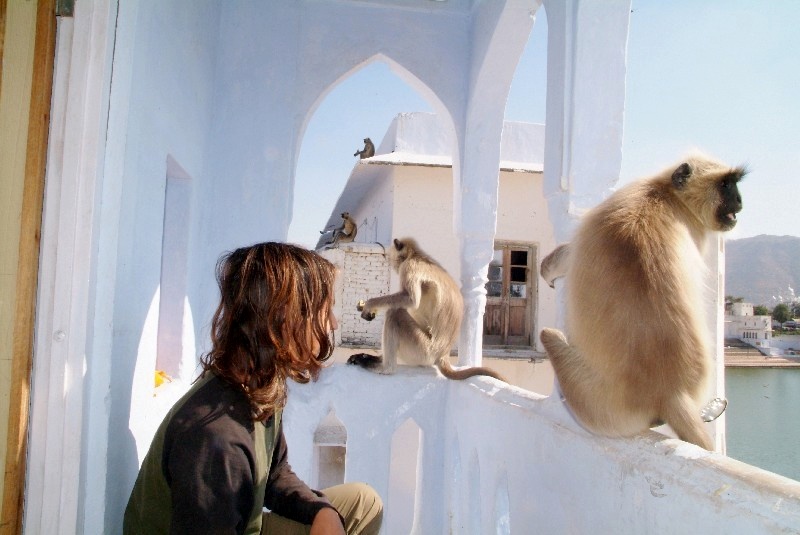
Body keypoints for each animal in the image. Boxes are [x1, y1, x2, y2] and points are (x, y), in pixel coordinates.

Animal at [347, 237, 506, 382]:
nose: (392, 264)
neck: (417, 255)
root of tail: (443, 354)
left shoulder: (409, 266)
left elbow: (410, 300)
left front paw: (369, 305)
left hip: (423, 350)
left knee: (395, 312)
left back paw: (385, 367)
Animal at [539, 152, 745, 450]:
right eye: (726, 185)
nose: (739, 200)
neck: (664, 193)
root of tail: (669, 391)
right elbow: (570, 255)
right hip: (595, 403)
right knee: (548, 334)